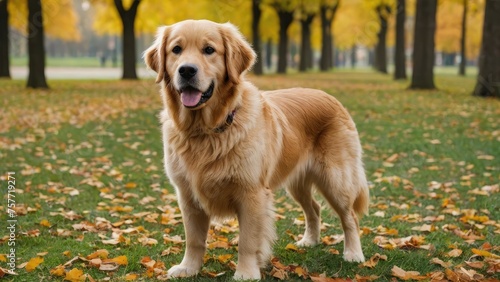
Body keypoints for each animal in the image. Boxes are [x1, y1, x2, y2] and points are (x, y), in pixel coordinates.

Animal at [143, 19, 370, 280]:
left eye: (209, 50)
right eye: (176, 50)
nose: (187, 71)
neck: (207, 130)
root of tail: (333, 99)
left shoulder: (251, 194)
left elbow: (248, 241)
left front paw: (246, 272)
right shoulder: (187, 194)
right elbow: (194, 239)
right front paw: (188, 268)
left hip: (335, 179)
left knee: (350, 217)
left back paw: (353, 253)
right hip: (297, 182)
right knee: (314, 208)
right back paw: (309, 241)